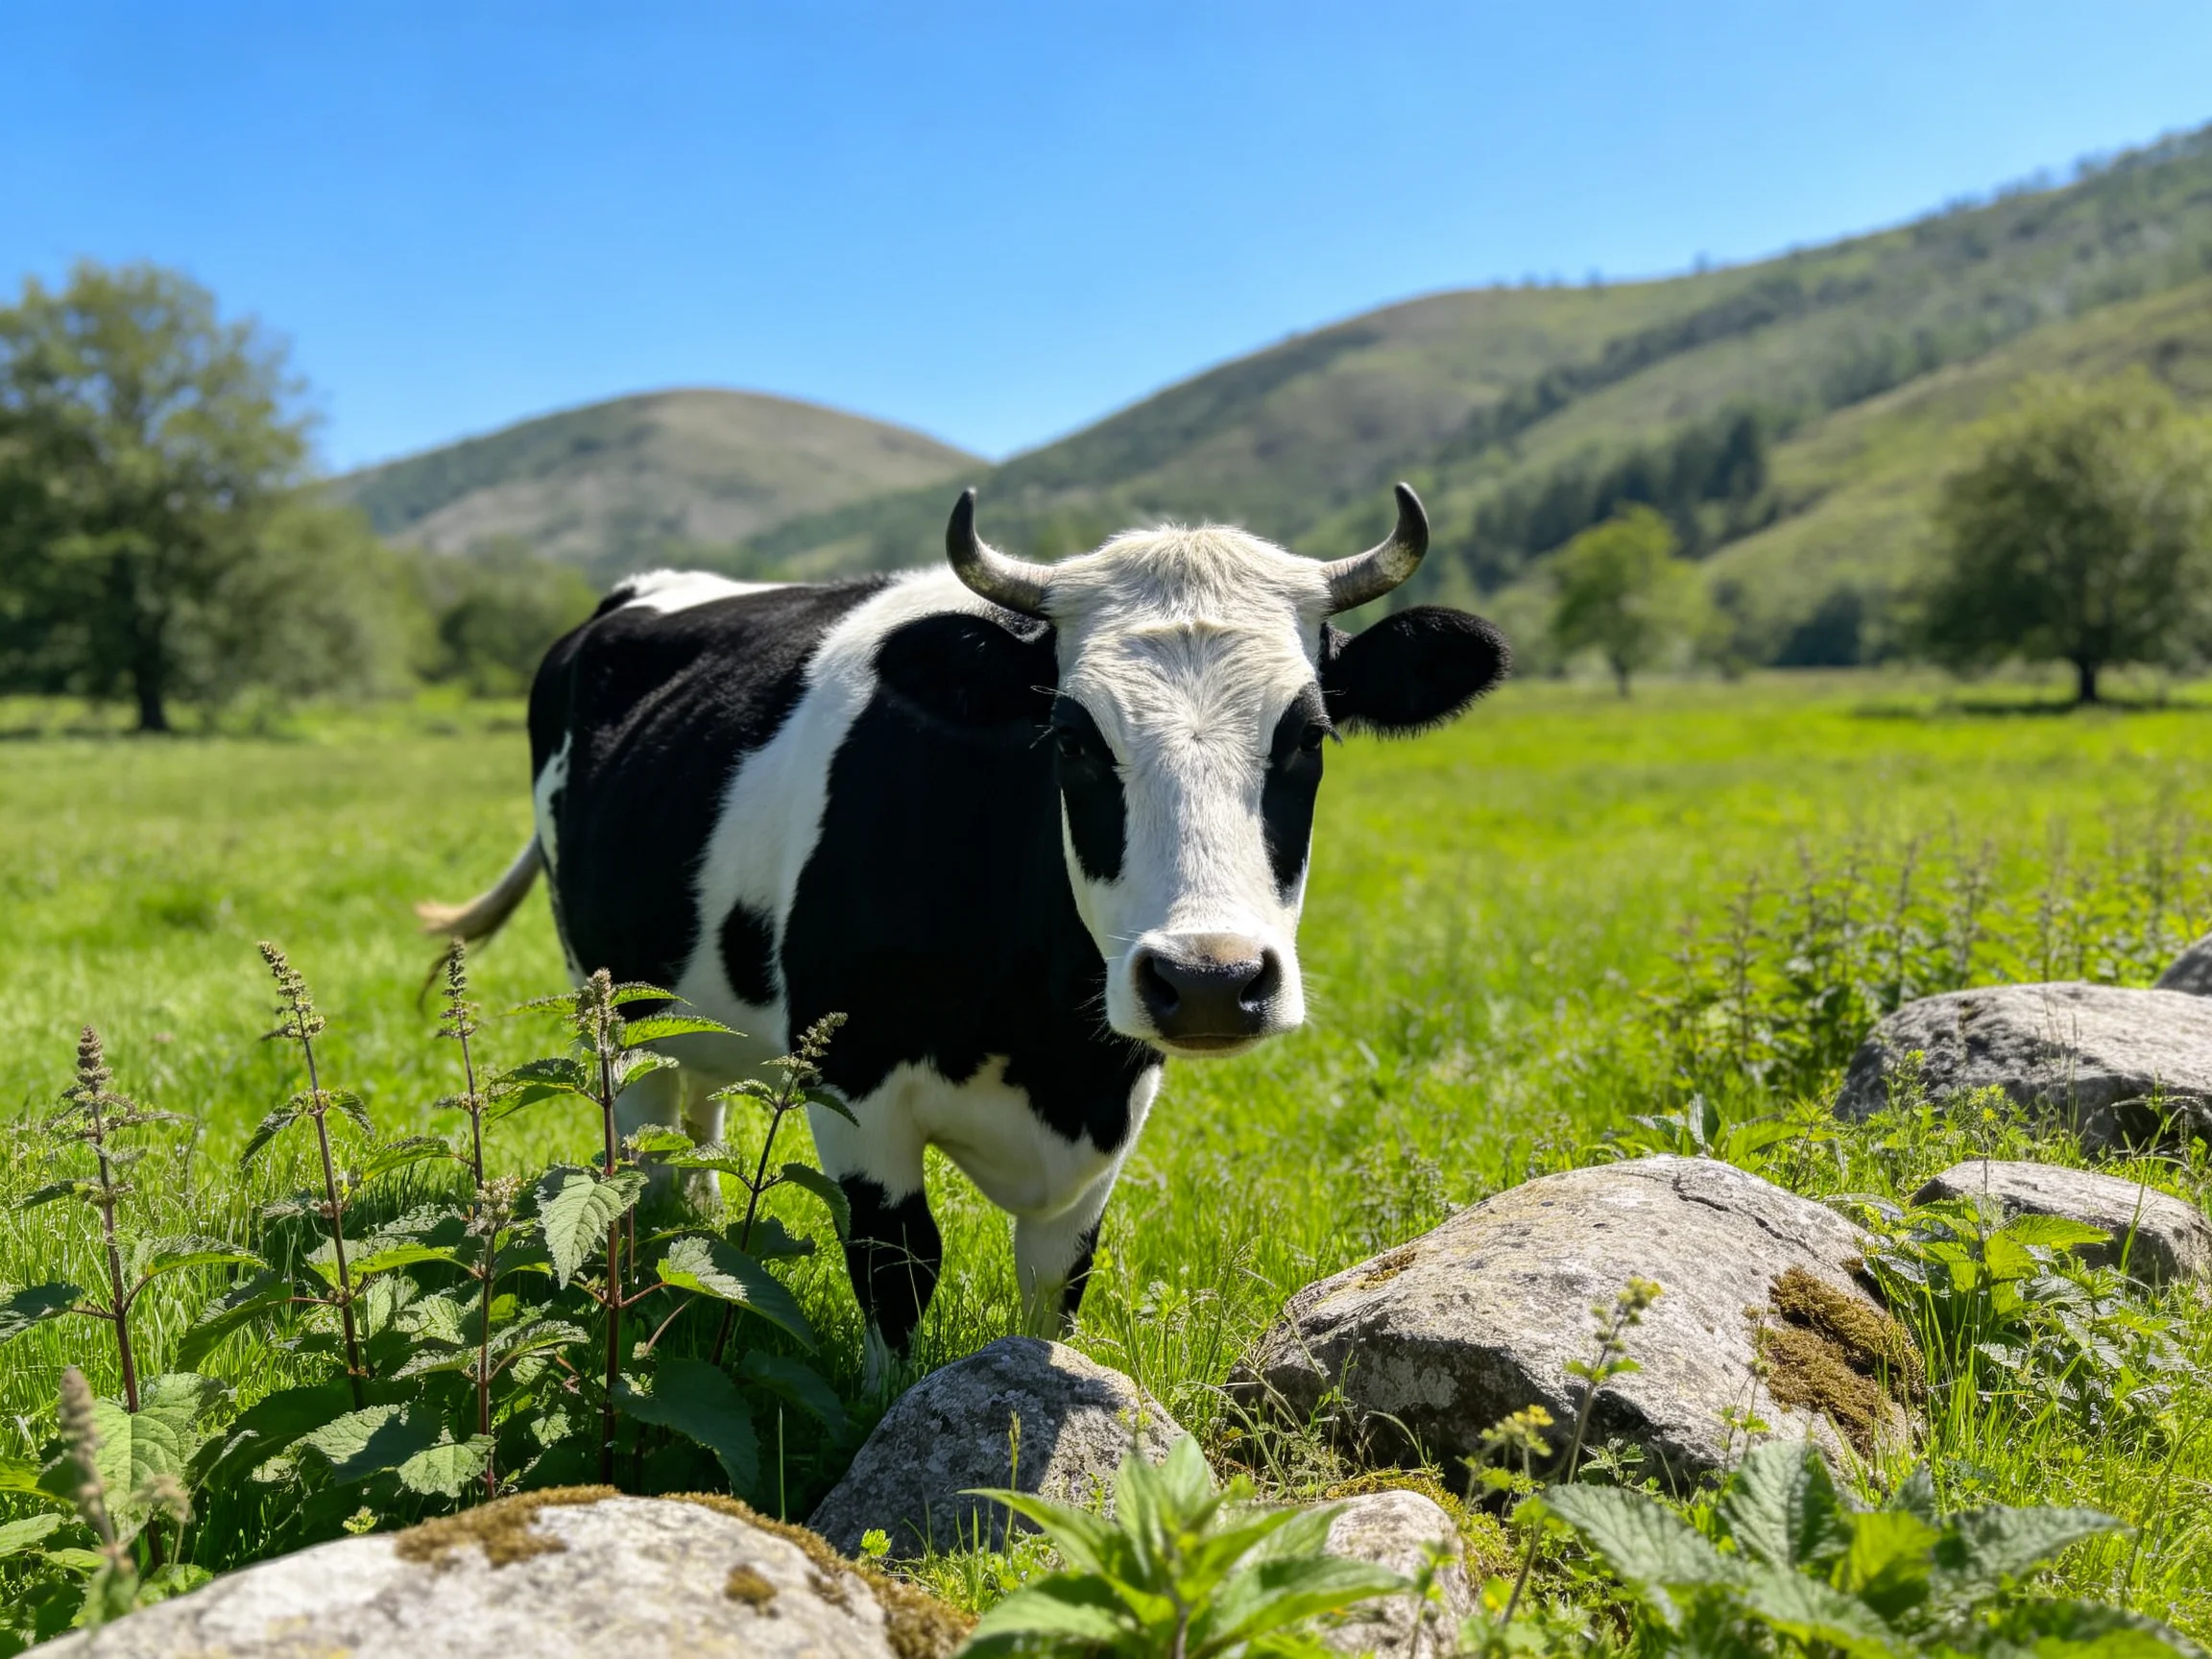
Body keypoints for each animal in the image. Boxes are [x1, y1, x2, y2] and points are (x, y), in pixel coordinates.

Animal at [420, 484, 1507, 1378]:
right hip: (612, 1003)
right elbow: (898, 1266)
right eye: (1072, 737)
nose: (1209, 980)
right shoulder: (855, 1080)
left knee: (698, 1133)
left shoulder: (1110, 1112)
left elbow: (1057, 1280)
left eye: (1309, 737)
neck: (1048, 1050)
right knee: (641, 1154)